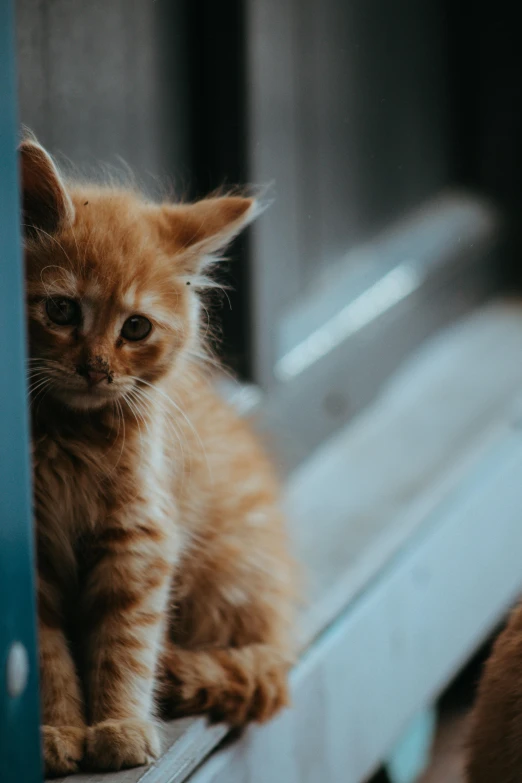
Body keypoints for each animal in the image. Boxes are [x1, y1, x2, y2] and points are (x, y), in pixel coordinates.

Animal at [20, 136, 294, 776]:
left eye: (136, 328)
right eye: (62, 311)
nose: (96, 369)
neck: (72, 438)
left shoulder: (138, 538)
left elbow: (125, 644)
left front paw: (119, 727)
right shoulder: (33, 551)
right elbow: (47, 654)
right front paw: (56, 732)